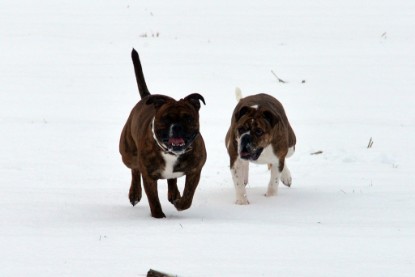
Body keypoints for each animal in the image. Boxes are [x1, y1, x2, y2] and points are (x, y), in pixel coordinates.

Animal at [119, 49, 207, 218]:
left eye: (188, 118)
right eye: (166, 118)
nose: (177, 127)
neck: (171, 153)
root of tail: (147, 97)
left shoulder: (195, 170)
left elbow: (188, 196)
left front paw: (180, 203)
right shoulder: (148, 176)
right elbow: (153, 199)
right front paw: (158, 217)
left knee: (171, 180)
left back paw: (174, 195)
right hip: (128, 154)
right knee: (134, 169)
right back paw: (134, 193)